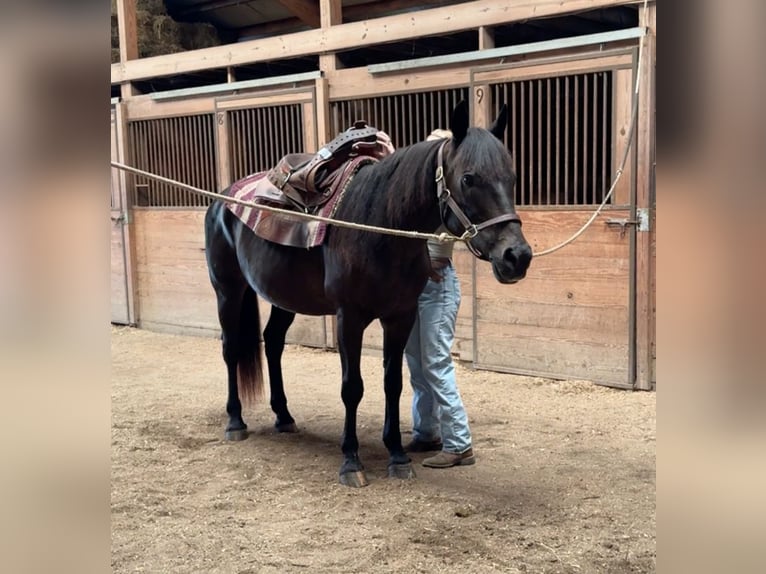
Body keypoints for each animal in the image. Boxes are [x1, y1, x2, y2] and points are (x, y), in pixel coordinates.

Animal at [202, 101, 536, 488]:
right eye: (468, 178)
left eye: (512, 178)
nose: (516, 256)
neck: (379, 224)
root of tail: (222, 199)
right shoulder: (350, 318)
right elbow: (353, 387)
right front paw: (351, 461)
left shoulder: (400, 317)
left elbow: (393, 383)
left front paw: (397, 455)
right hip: (228, 290)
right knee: (230, 349)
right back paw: (235, 422)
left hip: (283, 297)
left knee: (272, 343)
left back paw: (284, 417)